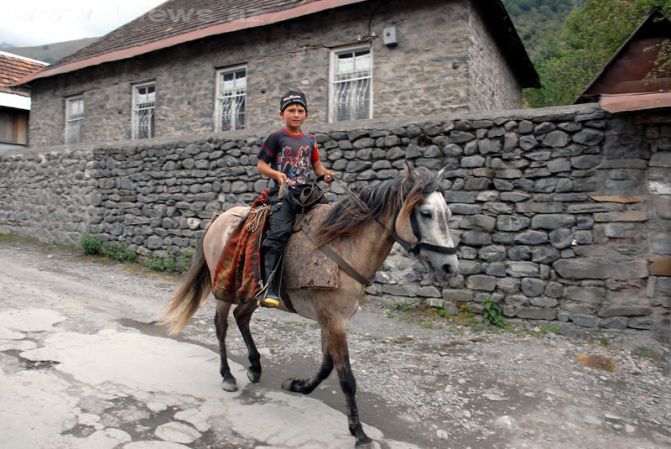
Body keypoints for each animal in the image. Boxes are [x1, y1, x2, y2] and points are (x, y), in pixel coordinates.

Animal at [163, 166, 460, 446]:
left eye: (447, 213)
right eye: (426, 214)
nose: (449, 267)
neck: (345, 245)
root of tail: (219, 219)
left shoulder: (331, 319)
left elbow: (328, 364)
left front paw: (300, 386)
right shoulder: (334, 320)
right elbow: (346, 378)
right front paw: (359, 432)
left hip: (252, 293)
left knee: (241, 317)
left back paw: (255, 367)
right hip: (225, 290)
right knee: (221, 326)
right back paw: (227, 376)